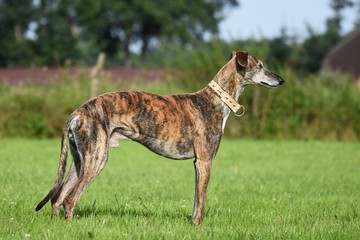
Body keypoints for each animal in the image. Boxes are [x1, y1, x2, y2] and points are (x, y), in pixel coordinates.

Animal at [35, 51, 284, 225]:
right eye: (260, 66)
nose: (281, 80)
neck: (216, 100)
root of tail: (77, 112)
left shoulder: (198, 163)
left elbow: (196, 199)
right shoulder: (205, 161)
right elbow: (201, 201)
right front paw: (199, 226)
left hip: (80, 160)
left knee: (58, 198)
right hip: (97, 159)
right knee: (70, 199)